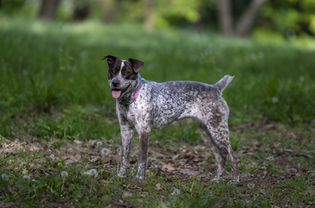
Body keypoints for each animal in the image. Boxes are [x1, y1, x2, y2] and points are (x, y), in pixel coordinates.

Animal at [103, 54, 239, 182]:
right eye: (113, 71)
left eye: (127, 72)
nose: (115, 82)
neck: (131, 99)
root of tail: (216, 88)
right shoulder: (125, 130)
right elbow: (124, 157)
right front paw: (121, 176)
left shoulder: (143, 131)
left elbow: (142, 159)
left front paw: (139, 178)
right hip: (206, 133)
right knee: (220, 156)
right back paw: (217, 180)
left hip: (218, 131)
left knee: (232, 155)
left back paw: (235, 181)